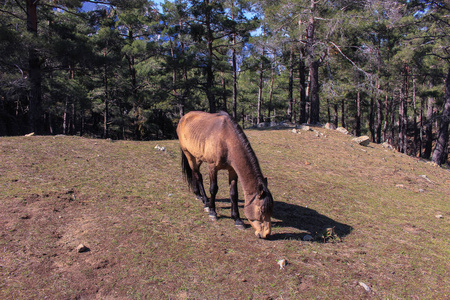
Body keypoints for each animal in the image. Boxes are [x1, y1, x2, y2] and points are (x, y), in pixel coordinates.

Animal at [177, 110, 274, 239]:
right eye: (262, 210)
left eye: (271, 210)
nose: (266, 234)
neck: (226, 140)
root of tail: (183, 117)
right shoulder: (212, 167)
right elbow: (213, 189)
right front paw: (213, 212)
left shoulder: (232, 171)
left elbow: (234, 194)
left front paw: (237, 219)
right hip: (188, 154)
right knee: (198, 176)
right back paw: (205, 202)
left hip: (197, 156)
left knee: (194, 173)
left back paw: (198, 195)